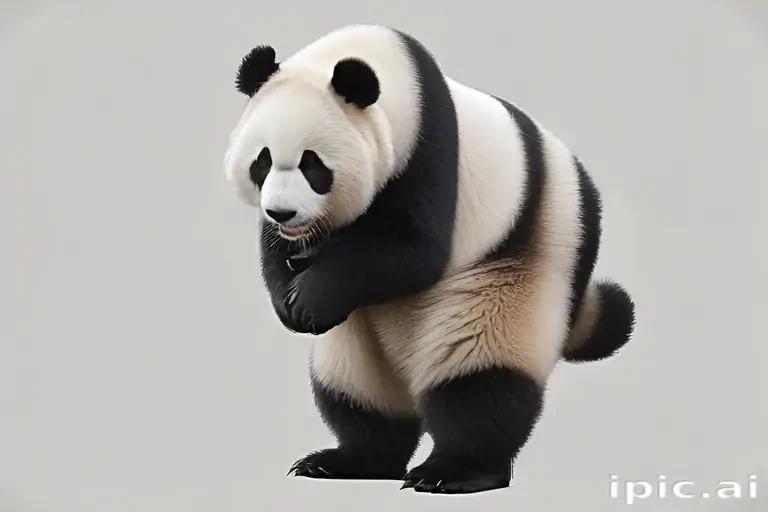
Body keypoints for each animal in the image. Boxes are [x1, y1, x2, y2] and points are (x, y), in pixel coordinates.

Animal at [224, 24, 636, 495]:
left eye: (313, 166)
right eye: (262, 162)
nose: (282, 213)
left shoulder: (430, 156)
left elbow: (413, 252)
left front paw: (309, 298)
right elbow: (277, 251)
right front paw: (289, 296)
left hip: (524, 254)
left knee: (478, 380)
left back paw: (456, 470)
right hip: (364, 334)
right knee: (356, 388)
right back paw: (352, 459)